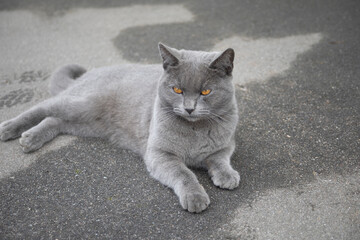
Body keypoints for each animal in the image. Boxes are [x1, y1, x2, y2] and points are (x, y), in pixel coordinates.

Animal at [2, 43, 242, 212]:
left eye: (206, 92)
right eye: (177, 90)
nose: (189, 109)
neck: (195, 130)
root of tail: (91, 72)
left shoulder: (225, 145)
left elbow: (219, 159)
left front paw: (227, 176)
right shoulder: (160, 153)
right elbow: (184, 173)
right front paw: (195, 197)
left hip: (87, 123)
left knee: (54, 120)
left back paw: (31, 138)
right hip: (83, 102)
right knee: (44, 107)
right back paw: (11, 129)